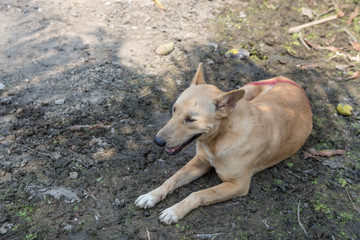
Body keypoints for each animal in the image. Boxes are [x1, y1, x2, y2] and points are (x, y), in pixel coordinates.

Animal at [135, 63, 312, 225]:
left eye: (190, 119)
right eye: (174, 109)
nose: (157, 141)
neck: (220, 138)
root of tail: (289, 80)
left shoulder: (238, 185)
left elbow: (198, 194)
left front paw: (174, 210)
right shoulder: (200, 162)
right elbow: (173, 178)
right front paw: (152, 195)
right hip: (245, 92)